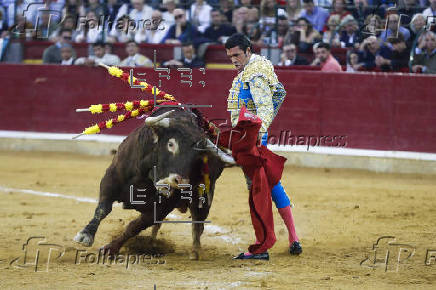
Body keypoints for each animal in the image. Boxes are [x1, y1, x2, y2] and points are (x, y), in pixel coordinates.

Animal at [74, 107, 235, 260]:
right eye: (171, 144)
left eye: (197, 156)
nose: (180, 182)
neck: (146, 177)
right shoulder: (111, 180)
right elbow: (103, 209)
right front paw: (85, 235)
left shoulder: (161, 208)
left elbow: (134, 226)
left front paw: (110, 248)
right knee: (159, 226)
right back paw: (152, 244)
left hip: (205, 196)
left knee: (197, 223)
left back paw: (194, 252)